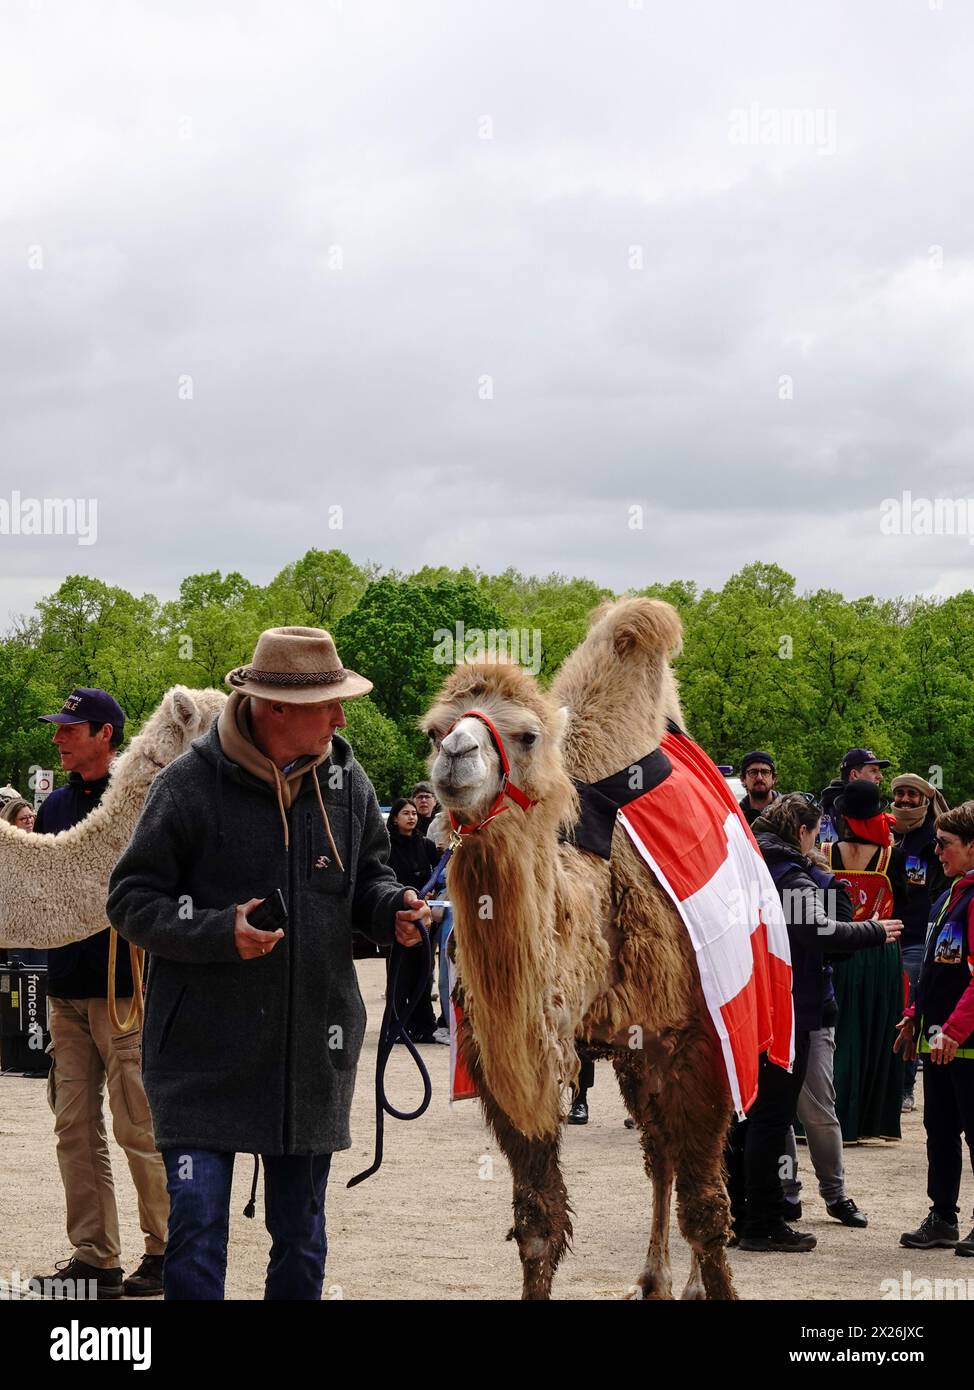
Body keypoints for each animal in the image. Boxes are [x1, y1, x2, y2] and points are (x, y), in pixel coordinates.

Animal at [422, 597, 733, 1301]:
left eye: (527, 735)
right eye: (435, 730)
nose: (455, 755)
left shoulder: (695, 1039)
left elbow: (707, 1211)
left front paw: (713, 1283)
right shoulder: (506, 1067)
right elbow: (538, 1223)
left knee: (688, 1158)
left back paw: (685, 1282)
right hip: (632, 1053)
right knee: (658, 1151)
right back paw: (653, 1278)